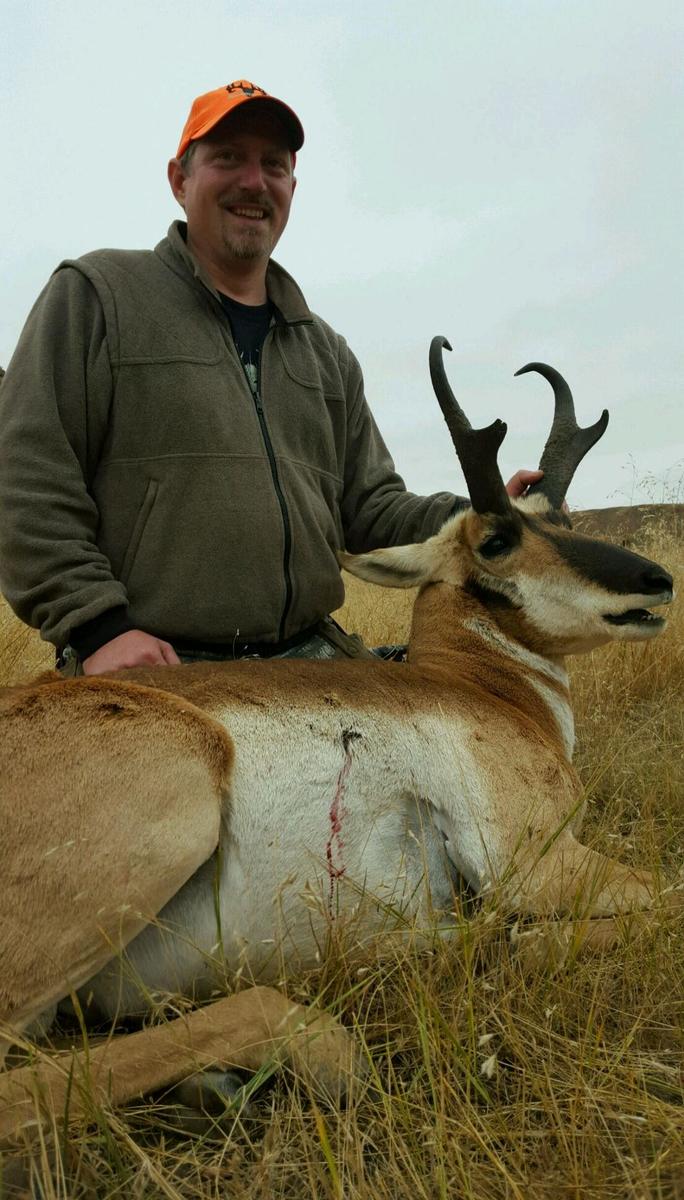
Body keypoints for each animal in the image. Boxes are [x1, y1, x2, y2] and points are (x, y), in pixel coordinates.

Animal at [0, 338, 672, 1132]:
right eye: (498, 540)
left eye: (563, 516)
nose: (657, 580)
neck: (472, 685)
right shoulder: (534, 864)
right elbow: (665, 896)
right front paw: (511, 945)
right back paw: (323, 1045)